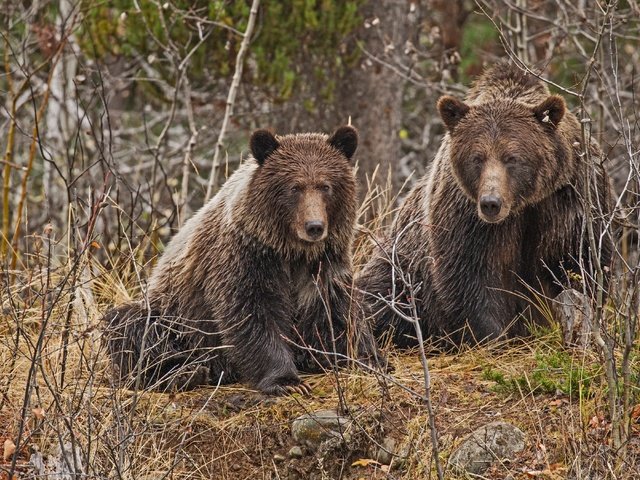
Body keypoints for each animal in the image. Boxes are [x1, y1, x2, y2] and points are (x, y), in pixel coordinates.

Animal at [105, 125, 380, 396]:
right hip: (176, 318)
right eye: (295, 187)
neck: (291, 251)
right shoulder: (246, 258)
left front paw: (365, 357)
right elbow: (252, 313)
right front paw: (286, 381)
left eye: (326, 186)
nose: (314, 226)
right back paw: (182, 373)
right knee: (131, 326)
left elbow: (336, 311)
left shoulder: (324, 263)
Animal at [358, 64, 612, 348]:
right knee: (379, 296)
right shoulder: (465, 214)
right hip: (402, 266)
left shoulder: (570, 197)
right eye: (476, 157)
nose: (491, 203)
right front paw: (494, 337)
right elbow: (472, 276)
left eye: (512, 158)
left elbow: (578, 262)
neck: (522, 204)